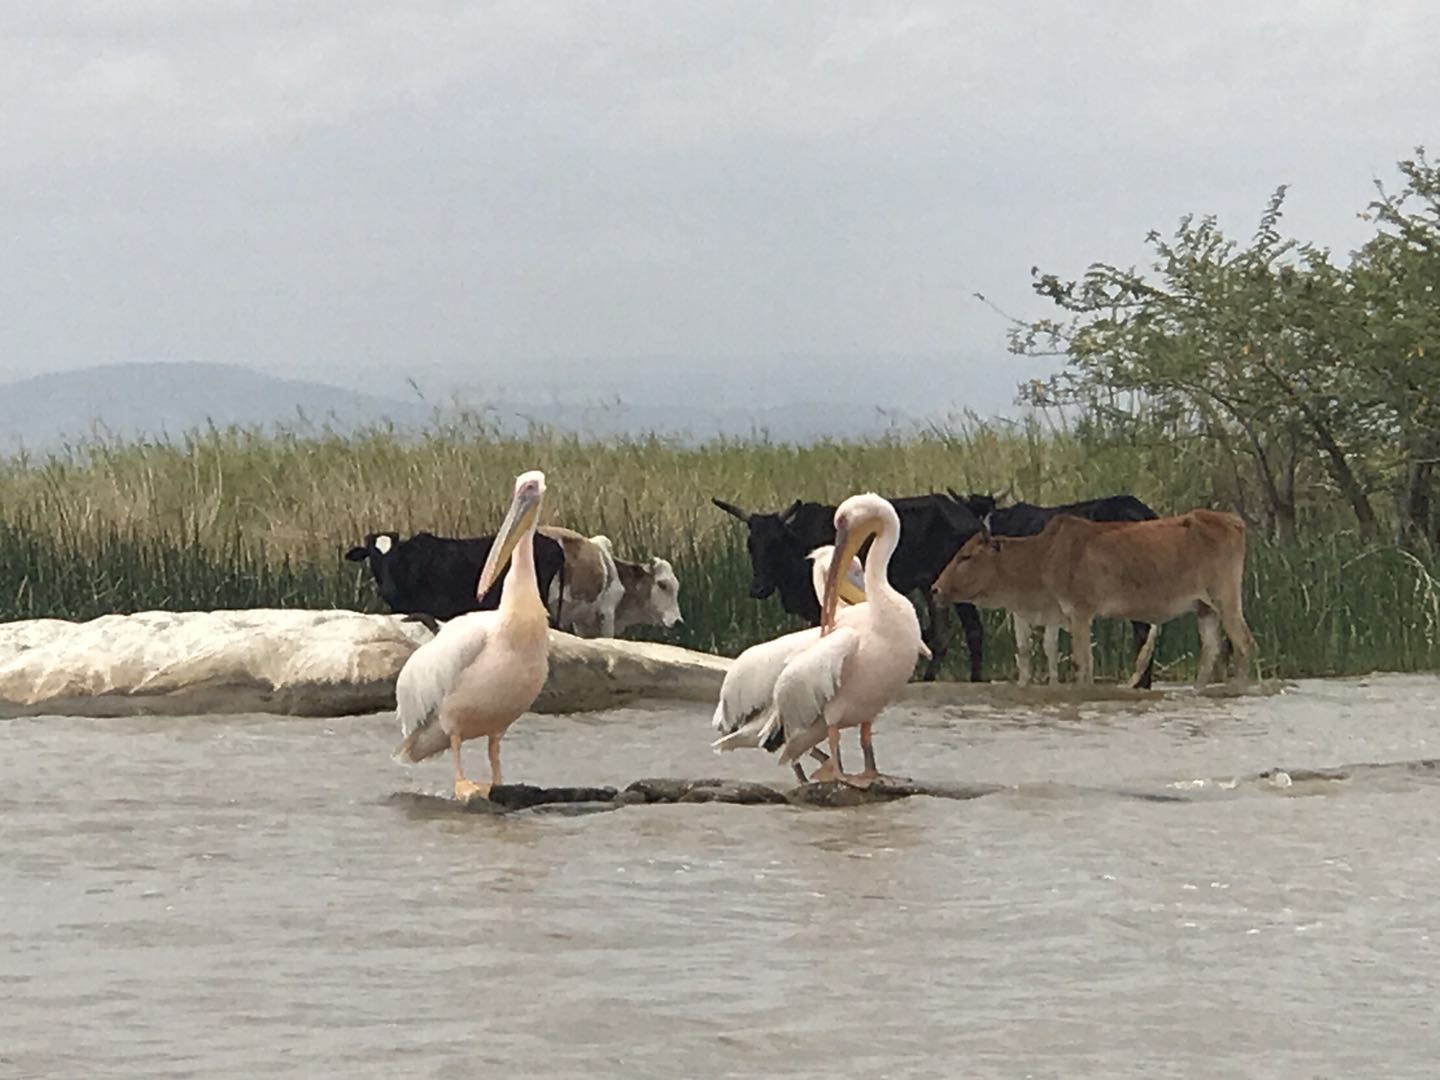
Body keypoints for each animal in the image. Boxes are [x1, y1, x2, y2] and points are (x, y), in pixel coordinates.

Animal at [711, 495, 990, 679]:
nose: (758, 588)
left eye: (775, 543)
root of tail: (974, 520)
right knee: (942, 635)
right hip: (930, 587)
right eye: (750, 544)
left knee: (973, 631)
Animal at [933, 509, 1249, 694]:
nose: (936, 589)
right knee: (1211, 651)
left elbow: (1081, 663)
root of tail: (1233, 520)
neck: (1043, 556)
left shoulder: (1080, 613)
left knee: (1244, 645)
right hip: (1204, 608)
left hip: (1225, 599)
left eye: (966, 556)